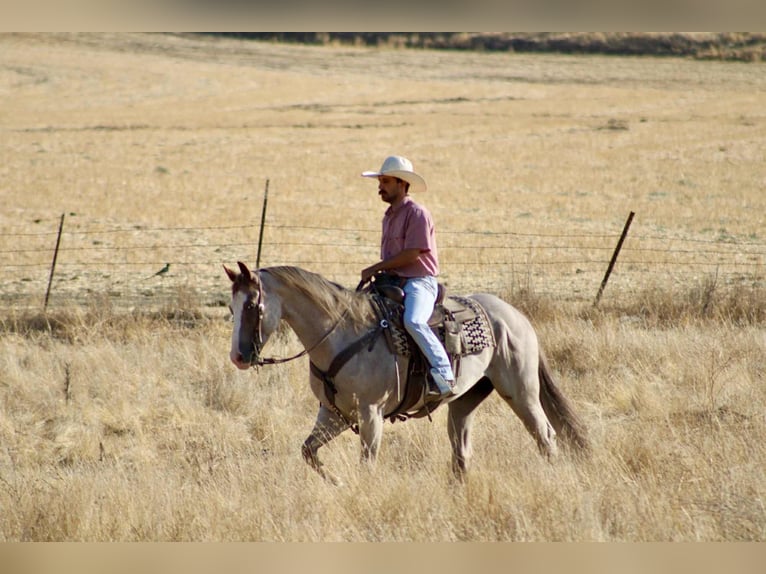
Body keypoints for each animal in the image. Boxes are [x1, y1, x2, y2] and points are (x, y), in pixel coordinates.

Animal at [225, 261, 589, 483]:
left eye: (252, 305)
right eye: (231, 306)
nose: (238, 357)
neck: (342, 332)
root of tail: (516, 316)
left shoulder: (370, 414)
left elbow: (367, 463)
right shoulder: (333, 413)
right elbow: (308, 451)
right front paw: (337, 481)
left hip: (521, 392)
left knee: (545, 435)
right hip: (464, 402)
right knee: (462, 450)